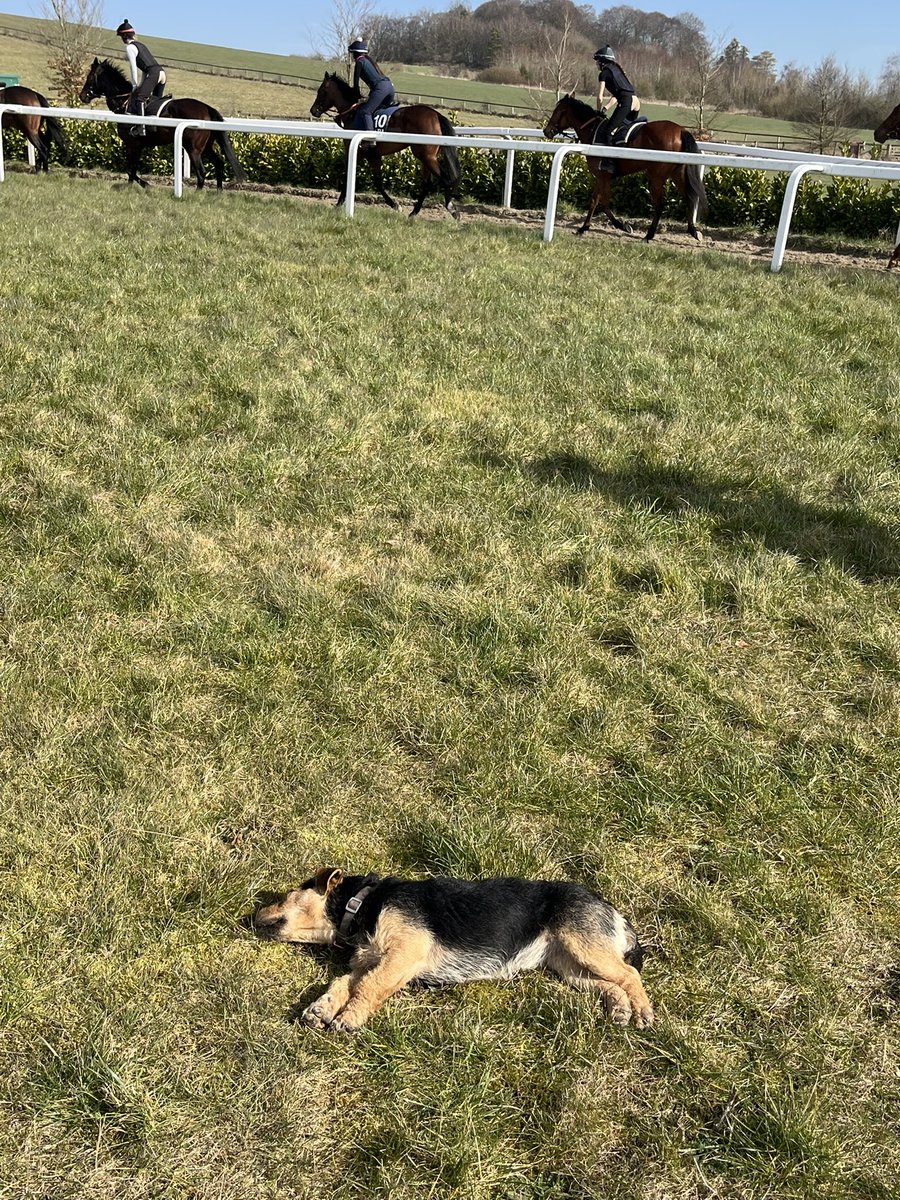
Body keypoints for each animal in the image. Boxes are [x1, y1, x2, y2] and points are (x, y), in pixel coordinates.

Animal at [79, 58, 244, 190]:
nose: (82, 96)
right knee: (219, 164)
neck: (124, 102)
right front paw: (132, 187)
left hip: (193, 149)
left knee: (201, 173)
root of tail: (207, 108)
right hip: (206, 147)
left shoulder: (133, 144)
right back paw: (218, 192)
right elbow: (132, 170)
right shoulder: (137, 146)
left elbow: (130, 169)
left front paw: (145, 184)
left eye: (90, 77)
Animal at [310, 73, 460, 219]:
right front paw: (395, 205)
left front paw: (338, 205)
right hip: (426, 157)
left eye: (322, 91)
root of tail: (436, 114)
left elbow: (348, 176)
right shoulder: (373, 156)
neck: (352, 113)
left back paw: (452, 209)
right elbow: (378, 182)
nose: (313, 110)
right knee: (427, 183)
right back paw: (413, 213)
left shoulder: (358, 151)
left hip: (426, 156)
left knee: (445, 180)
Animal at [543, 94, 706, 242]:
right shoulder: (604, 177)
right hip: (677, 174)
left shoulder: (603, 175)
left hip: (656, 177)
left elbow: (599, 201)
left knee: (660, 205)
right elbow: (598, 201)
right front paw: (609, 226)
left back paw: (649, 235)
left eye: (559, 111)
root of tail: (680, 130)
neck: (592, 131)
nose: (546, 131)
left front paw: (592, 227)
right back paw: (693, 231)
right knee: (689, 198)